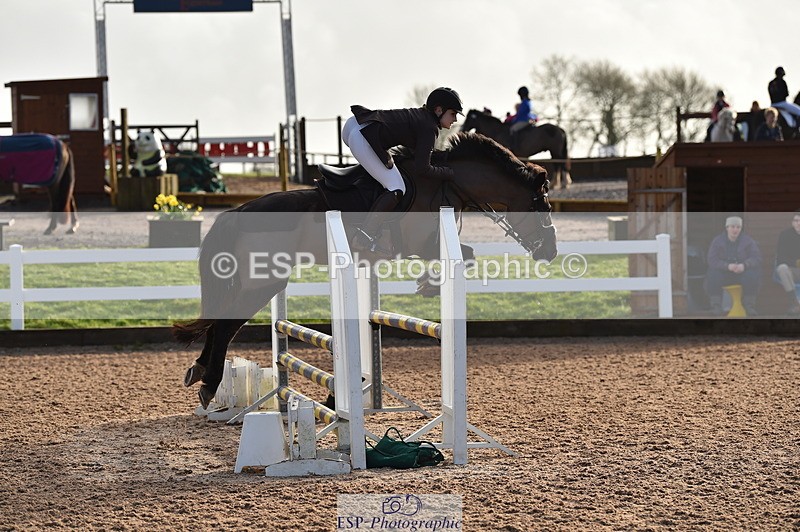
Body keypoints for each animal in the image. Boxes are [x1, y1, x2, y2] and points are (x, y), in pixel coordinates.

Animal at [174, 131, 558, 409]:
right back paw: (209, 384)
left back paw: (199, 370)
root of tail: (239, 211)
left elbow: (466, 255)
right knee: (226, 325)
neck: (447, 182)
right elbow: (466, 254)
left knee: (218, 321)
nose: (551, 252)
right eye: (541, 203)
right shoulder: (421, 246)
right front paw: (428, 285)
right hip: (262, 281)